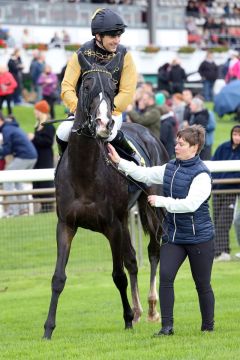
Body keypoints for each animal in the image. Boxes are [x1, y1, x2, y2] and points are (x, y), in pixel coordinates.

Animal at [43, 52, 169, 338]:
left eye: (112, 89)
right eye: (86, 86)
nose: (104, 123)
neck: (84, 173)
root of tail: (149, 134)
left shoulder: (112, 225)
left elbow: (118, 275)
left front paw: (127, 319)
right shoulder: (66, 224)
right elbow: (58, 277)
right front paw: (48, 328)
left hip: (151, 207)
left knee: (154, 251)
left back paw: (151, 308)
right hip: (126, 220)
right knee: (133, 259)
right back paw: (138, 310)